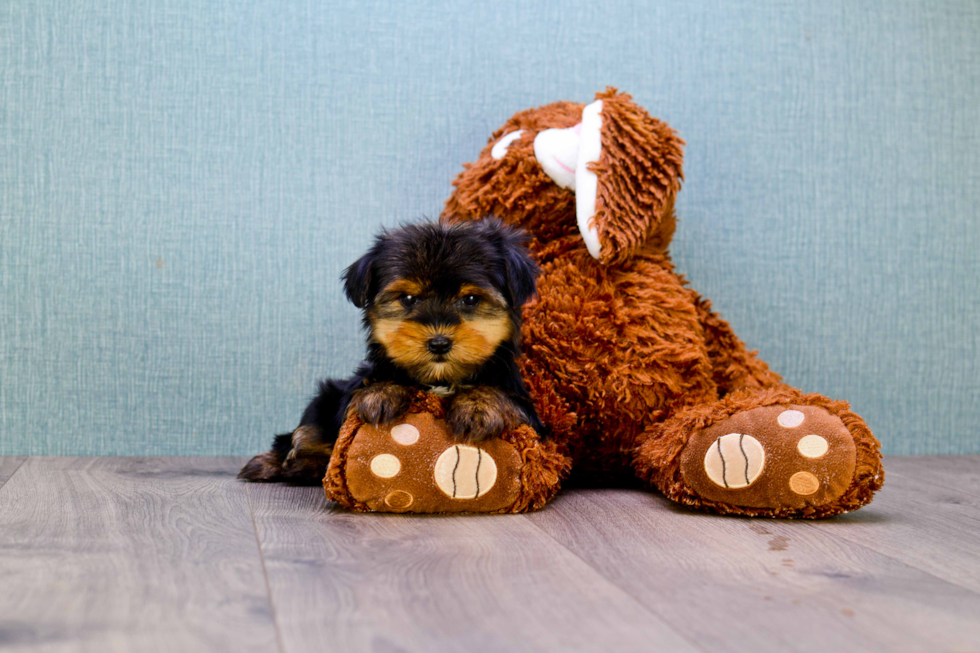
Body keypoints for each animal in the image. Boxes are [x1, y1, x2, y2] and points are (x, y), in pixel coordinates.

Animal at [237, 216, 544, 482]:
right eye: (407, 298)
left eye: (470, 300)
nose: (439, 342)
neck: (440, 380)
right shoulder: (351, 394)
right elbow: (365, 391)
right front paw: (381, 394)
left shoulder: (532, 417)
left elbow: (505, 397)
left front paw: (478, 406)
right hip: (325, 397)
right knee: (302, 432)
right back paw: (281, 463)